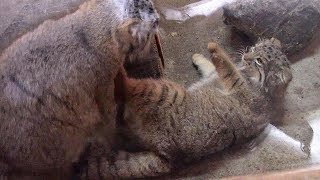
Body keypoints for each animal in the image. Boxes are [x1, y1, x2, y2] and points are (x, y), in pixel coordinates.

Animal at [0, 0, 164, 179]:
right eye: (153, 22)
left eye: (153, 8)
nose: (159, 19)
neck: (88, 31)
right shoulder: (102, 86)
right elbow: (108, 121)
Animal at [116, 38, 294, 177]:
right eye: (254, 48)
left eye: (259, 61)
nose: (245, 56)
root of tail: (169, 157)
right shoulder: (216, 75)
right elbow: (212, 66)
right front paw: (199, 57)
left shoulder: (240, 87)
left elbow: (228, 67)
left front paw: (215, 49)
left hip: (166, 92)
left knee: (128, 87)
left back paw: (120, 73)